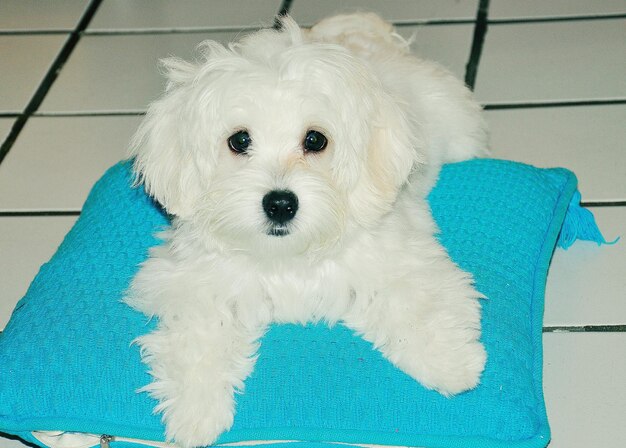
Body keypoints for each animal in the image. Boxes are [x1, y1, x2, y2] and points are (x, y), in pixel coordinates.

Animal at [124, 14, 488, 448]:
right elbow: (201, 333)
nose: (280, 203)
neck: (287, 258)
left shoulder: (403, 257)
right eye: (239, 140)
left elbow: (417, 306)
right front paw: (195, 409)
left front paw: (451, 363)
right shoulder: (193, 279)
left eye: (315, 140)